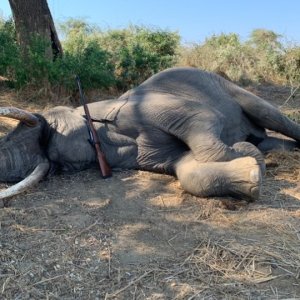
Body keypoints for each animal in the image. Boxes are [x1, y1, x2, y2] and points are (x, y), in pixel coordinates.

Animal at [0, 67, 300, 205]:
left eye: (50, 127)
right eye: (62, 168)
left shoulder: (146, 107)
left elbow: (202, 118)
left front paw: (248, 155)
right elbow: (186, 170)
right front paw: (253, 171)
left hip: (230, 88)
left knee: (270, 114)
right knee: (270, 139)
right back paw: (270, 151)